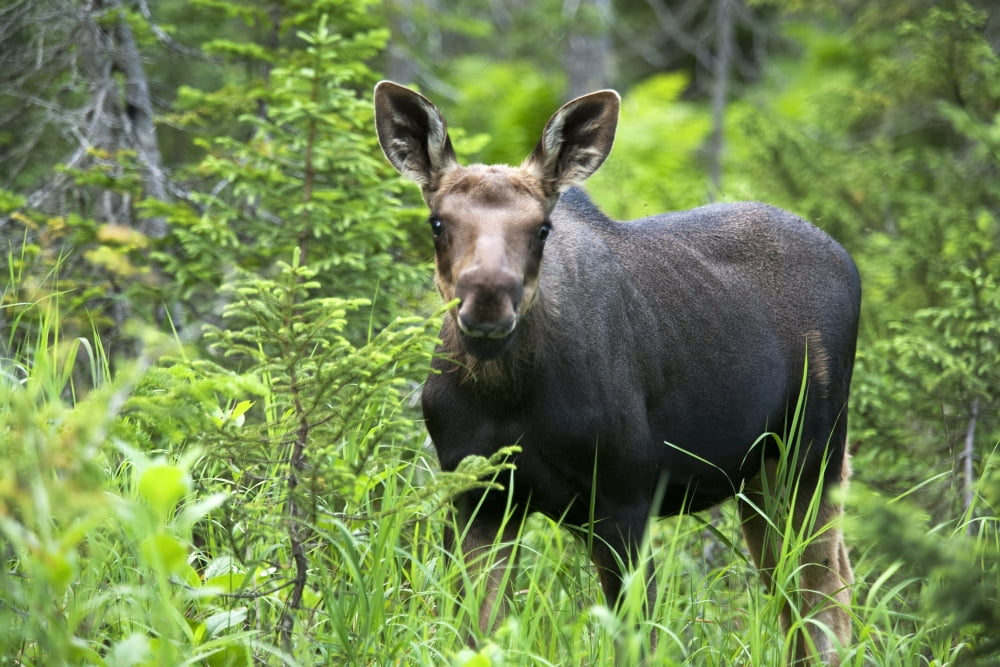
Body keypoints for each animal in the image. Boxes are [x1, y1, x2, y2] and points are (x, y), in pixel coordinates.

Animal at [374, 80, 860, 665]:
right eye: (438, 223)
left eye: (541, 228)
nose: (487, 300)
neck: (508, 399)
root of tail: (846, 257)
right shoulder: (477, 494)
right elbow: (476, 635)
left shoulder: (626, 497)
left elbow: (636, 641)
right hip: (761, 475)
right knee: (802, 593)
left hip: (813, 452)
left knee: (824, 596)